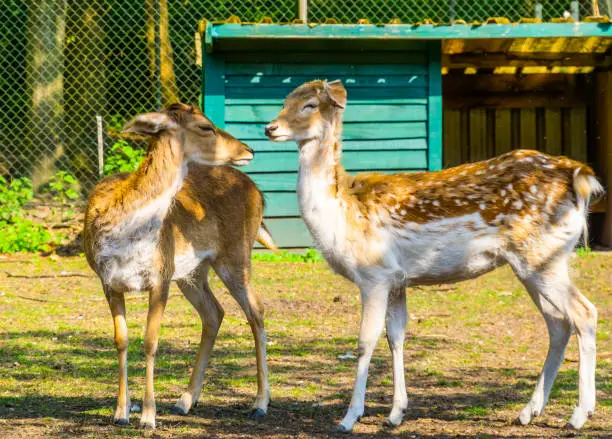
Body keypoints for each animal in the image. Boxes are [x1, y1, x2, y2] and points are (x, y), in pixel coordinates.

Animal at [85, 104, 276, 430]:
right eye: (205, 126)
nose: (248, 149)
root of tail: (259, 194)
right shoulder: (108, 281)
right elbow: (121, 340)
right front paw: (120, 413)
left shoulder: (160, 275)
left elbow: (150, 340)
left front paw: (148, 417)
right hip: (192, 272)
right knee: (214, 312)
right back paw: (185, 401)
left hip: (236, 255)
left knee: (256, 310)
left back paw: (260, 404)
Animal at [264, 80, 604, 434]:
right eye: (285, 100)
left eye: (310, 104)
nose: (270, 127)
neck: (341, 212)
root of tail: (582, 177)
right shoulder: (397, 280)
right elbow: (396, 337)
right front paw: (395, 413)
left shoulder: (373, 274)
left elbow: (364, 341)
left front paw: (350, 417)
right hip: (536, 263)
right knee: (559, 324)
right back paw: (528, 412)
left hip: (541, 256)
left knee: (585, 313)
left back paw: (579, 415)